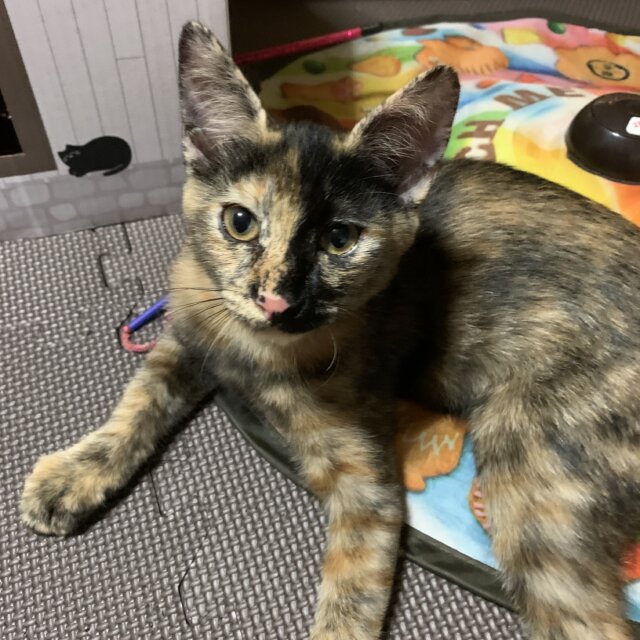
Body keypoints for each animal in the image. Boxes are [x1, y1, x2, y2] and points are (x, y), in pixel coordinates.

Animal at [22, 21, 640, 640]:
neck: (254, 350)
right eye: (239, 223)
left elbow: (352, 593)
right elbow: (140, 399)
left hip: (531, 462)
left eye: (339, 239)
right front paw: (74, 474)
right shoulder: (190, 329)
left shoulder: (366, 484)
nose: (275, 300)